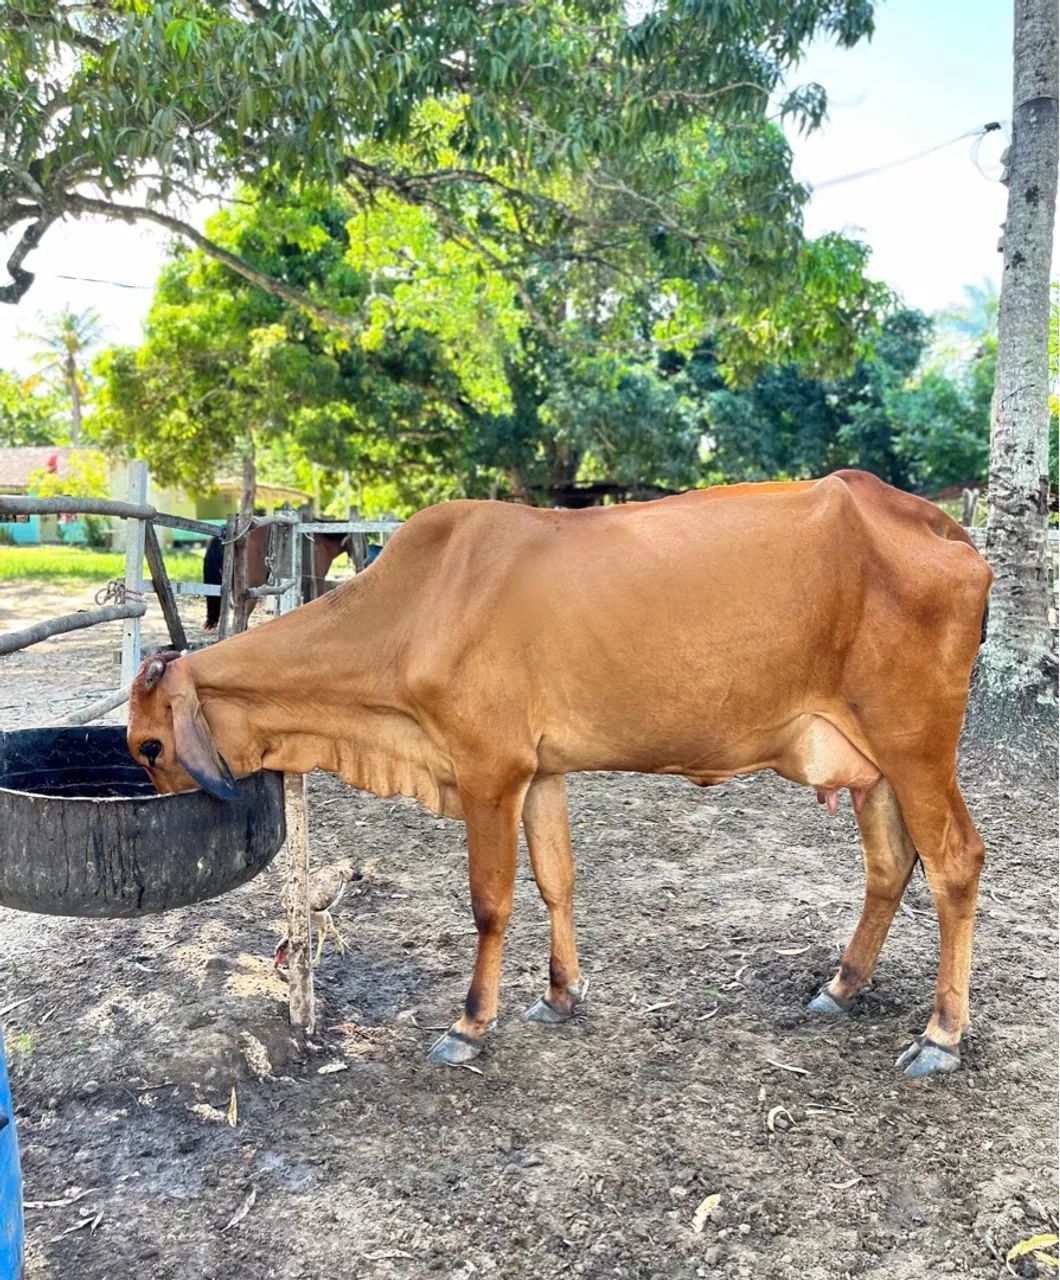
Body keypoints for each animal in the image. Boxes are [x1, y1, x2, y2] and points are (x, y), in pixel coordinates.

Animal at [129, 472, 992, 1077]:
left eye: (148, 747)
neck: (415, 609)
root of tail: (930, 519)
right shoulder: (540, 772)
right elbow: (555, 880)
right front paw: (560, 994)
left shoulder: (489, 767)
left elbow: (490, 901)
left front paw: (470, 1024)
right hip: (871, 764)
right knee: (891, 865)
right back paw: (843, 986)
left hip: (915, 742)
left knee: (954, 862)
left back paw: (942, 1034)